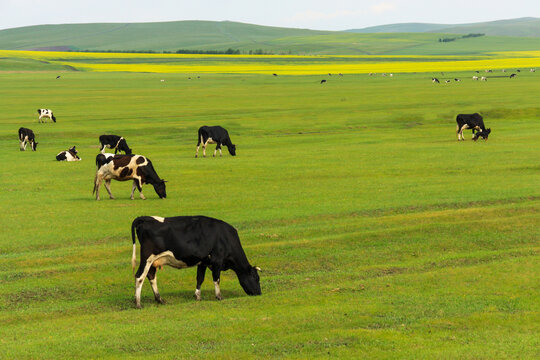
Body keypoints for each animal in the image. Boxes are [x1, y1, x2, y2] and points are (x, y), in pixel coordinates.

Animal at [131, 215, 262, 308]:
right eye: (256, 278)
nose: (259, 293)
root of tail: (144, 218)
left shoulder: (203, 262)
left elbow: (200, 279)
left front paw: (198, 297)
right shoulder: (217, 261)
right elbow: (217, 279)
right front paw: (219, 297)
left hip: (153, 261)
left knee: (151, 276)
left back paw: (160, 299)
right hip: (147, 258)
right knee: (139, 277)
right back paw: (138, 304)